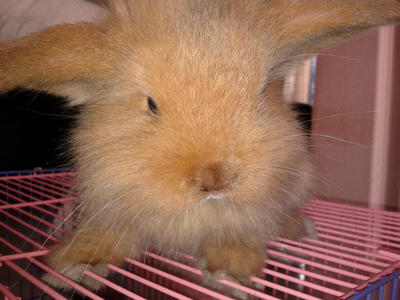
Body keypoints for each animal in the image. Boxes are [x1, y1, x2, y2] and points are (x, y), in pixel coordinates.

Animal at [0, 0, 400, 290]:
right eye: (151, 104)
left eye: (261, 92)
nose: (215, 179)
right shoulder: (113, 204)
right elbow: (105, 235)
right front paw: (74, 265)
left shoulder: (248, 214)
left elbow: (238, 238)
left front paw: (229, 275)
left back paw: (298, 228)